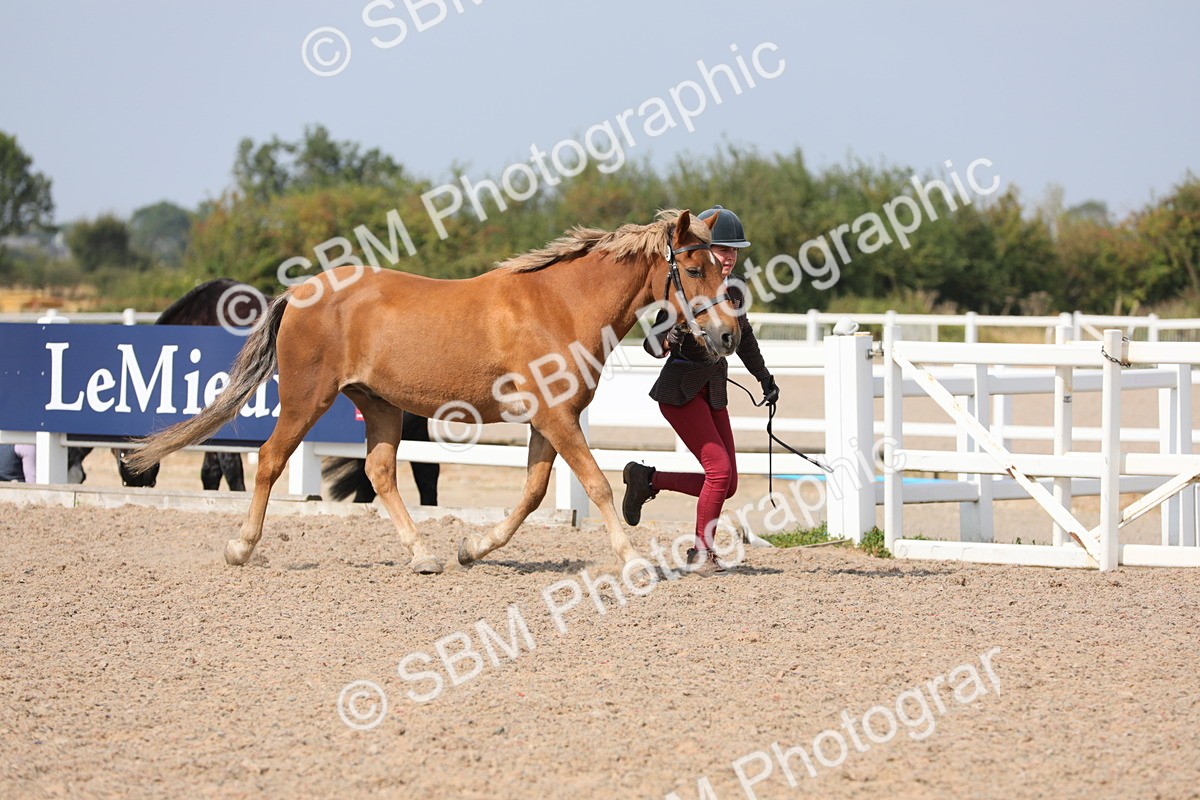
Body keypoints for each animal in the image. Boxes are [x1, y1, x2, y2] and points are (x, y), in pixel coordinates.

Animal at [125, 209, 738, 574]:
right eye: (692, 268)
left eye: (718, 264)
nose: (728, 335)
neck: (559, 305)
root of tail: (300, 293)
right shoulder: (557, 419)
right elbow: (596, 485)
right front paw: (632, 559)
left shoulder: (549, 420)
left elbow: (533, 493)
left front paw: (473, 548)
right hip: (305, 399)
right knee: (272, 461)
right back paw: (242, 547)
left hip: (379, 406)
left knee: (379, 473)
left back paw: (424, 555)